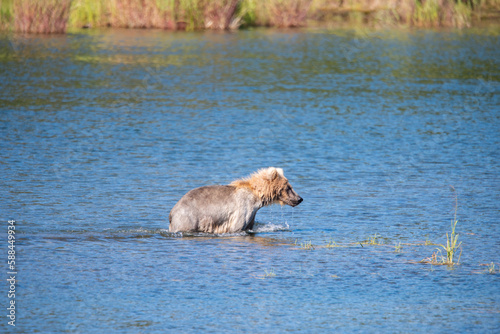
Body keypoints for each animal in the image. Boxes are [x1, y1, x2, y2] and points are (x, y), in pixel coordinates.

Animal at [168, 166, 302, 234]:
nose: (299, 198)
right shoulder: (243, 208)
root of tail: (172, 211)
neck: (257, 197)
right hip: (188, 218)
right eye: (288, 187)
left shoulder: (252, 215)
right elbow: (237, 226)